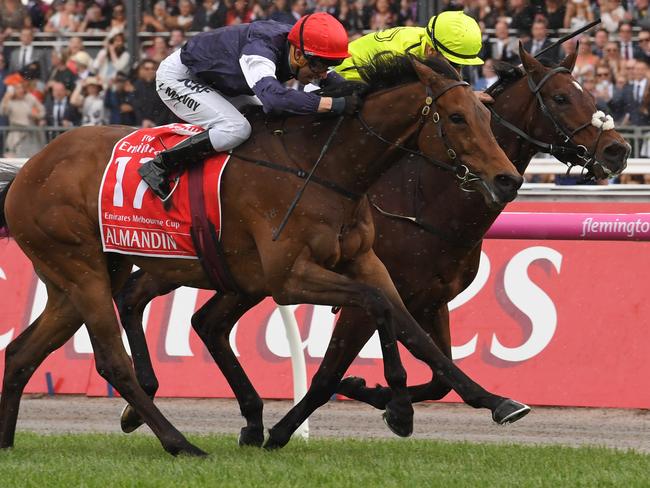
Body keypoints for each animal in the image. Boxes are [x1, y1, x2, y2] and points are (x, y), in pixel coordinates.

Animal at [0, 55, 520, 456]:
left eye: (487, 114)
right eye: (457, 118)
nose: (508, 179)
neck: (323, 166)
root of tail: (29, 168)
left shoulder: (369, 263)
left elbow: (408, 327)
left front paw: (496, 401)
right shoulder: (288, 278)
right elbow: (374, 307)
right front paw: (397, 404)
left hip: (79, 278)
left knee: (23, 350)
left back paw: (8, 441)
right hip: (82, 268)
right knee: (112, 358)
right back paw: (181, 442)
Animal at [112, 46, 628, 450]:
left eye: (591, 93)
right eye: (561, 97)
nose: (618, 150)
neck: (423, 193)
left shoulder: (429, 297)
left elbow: (435, 367)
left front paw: (381, 395)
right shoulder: (357, 292)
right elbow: (330, 372)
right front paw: (316, 418)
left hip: (239, 276)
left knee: (203, 320)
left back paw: (232, 415)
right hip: (192, 263)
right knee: (141, 297)